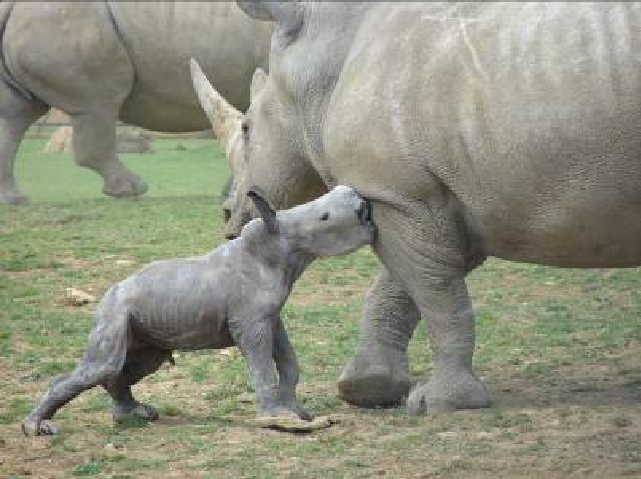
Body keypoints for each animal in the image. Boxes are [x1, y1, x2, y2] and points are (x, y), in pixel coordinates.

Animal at [0, 1, 272, 204]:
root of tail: (13, 4)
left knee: (17, 113)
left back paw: (14, 200)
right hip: (70, 22)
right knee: (99, 105)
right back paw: (131, 190)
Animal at [22, 186, 376, 436]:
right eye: (325, 218)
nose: (357, 197)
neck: (277, 245)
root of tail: (109, 292)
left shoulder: (270, 316)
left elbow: (289, 362)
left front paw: (300, 414)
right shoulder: (250, 320)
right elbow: (263, 366)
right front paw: (281, 421)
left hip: (135, 316)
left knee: (136, 364)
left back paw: (135, 416)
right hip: (115, 310)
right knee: (103, 367)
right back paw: (37, 429)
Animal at [226, 0, 641, 416]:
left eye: (246, 128)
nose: (229, 219)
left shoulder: (399, 194)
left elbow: (432, 289)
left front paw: (440, 402)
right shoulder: (428, 198)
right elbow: (407, 283)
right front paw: (367, 387)